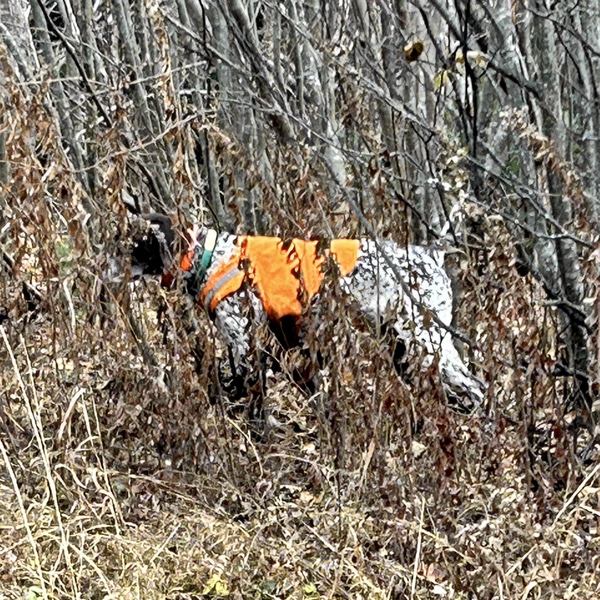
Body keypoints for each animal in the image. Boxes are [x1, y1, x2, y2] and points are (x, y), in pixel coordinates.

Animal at [129, 216, 486, 408]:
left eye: (134, 244)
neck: (209, 255)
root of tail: (431, 255)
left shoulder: (246, 344)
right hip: (401, 344)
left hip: (425, 341)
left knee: (475, 388)